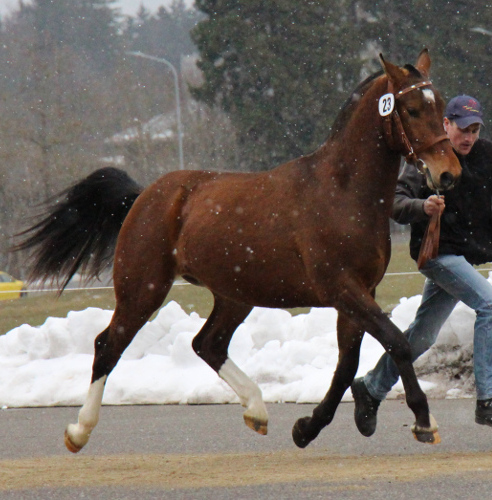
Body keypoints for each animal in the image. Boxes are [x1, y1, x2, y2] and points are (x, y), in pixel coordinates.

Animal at [15, 49, 462, 454]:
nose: (449, 174)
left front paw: (307, 428)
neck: (342, 191)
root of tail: (144, 195)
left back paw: (257, 410)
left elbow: (347, 363)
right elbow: (397, 342)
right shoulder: (343, 289)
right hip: (143, 289)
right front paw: (424, 421)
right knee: (108, 345)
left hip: (235, 294)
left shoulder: (360, 292)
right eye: (410, 108)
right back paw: (79, 431)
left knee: (207, 343)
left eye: (440, 104)